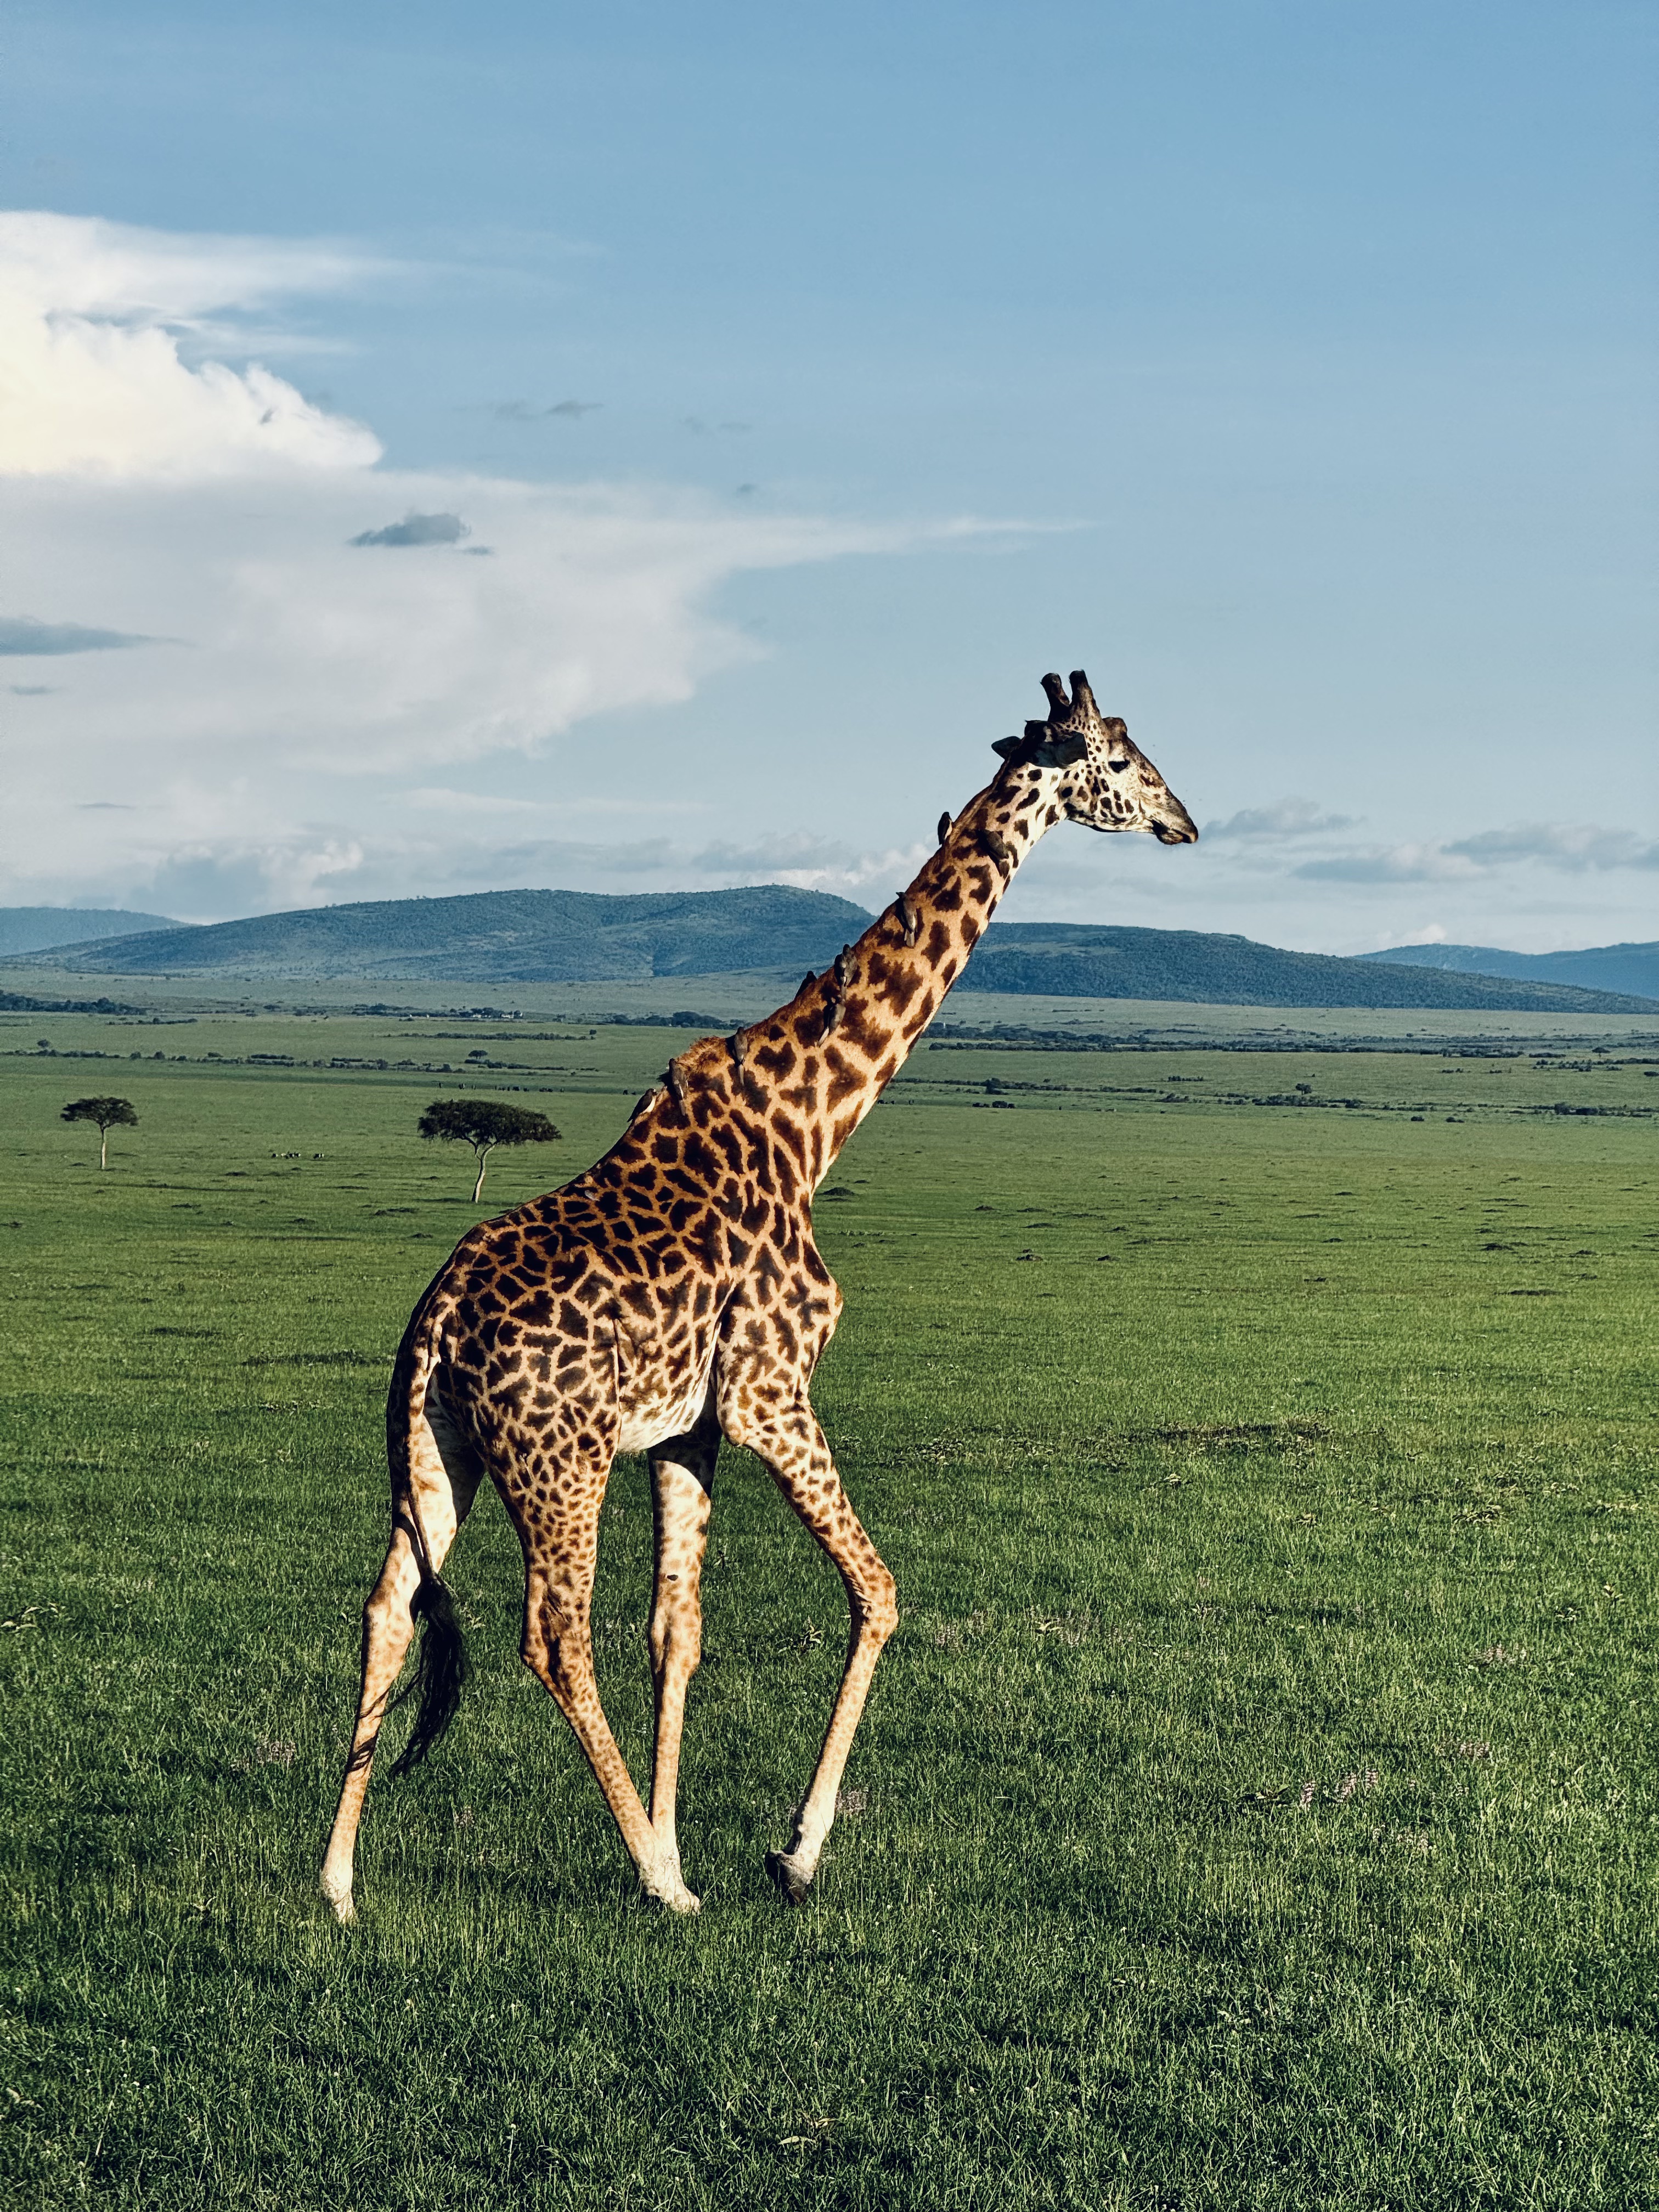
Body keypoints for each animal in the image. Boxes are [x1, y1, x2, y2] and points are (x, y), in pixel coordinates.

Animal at [320, 668, 1194, 1920]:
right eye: (1120, 764)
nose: (1186, 822)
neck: (815, 1121)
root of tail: (436, 1319)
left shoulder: (685, 1430)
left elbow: (676, 1629)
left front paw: (685, 1838)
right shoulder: (770, 1395)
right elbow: (877, 1592)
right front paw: (782, 1853)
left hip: (441, 1448)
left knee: (389, 1606)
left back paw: (339, 1882)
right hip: (557, 1458)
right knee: (553, 1635)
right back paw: (648, 1880)